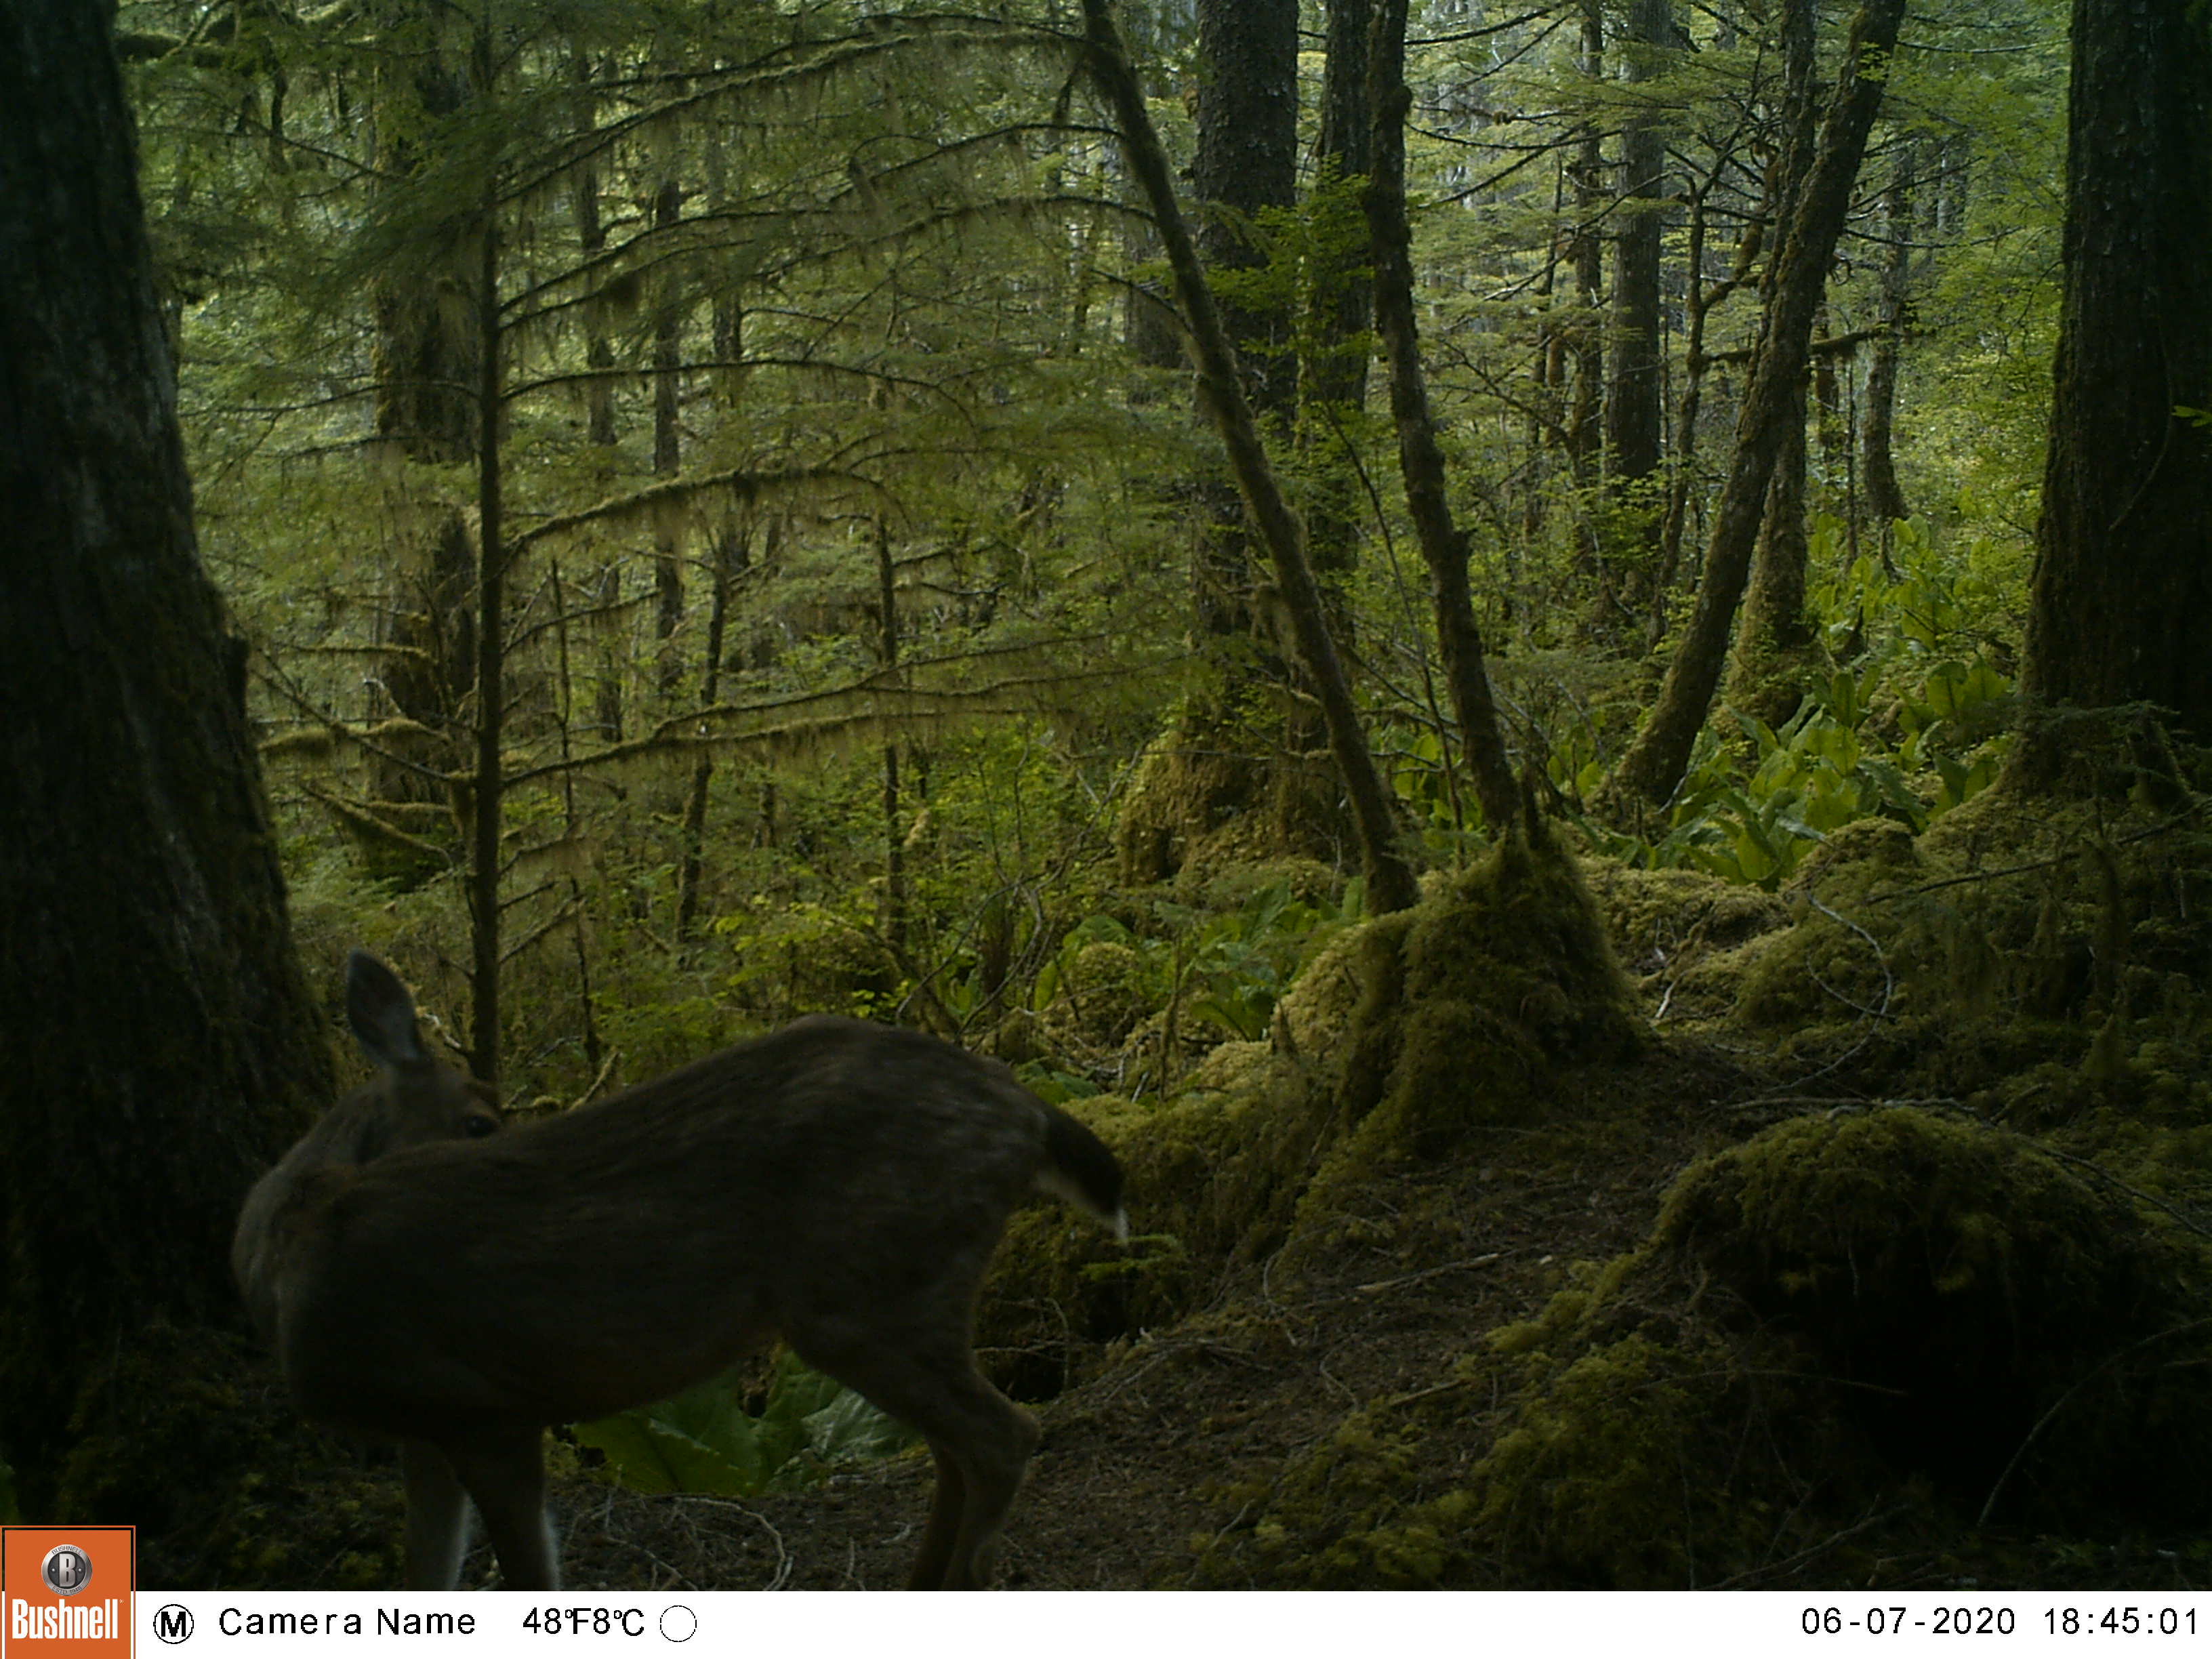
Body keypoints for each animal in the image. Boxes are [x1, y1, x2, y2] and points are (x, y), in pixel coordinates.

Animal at [233, 951, 1126, 1591]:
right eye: (480, 1120)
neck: (285, 1252)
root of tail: (1028, 1113)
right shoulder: (425, 1432)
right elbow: (429, 1576)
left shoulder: (484, 1407)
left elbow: (530, 1576)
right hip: (900, 1295)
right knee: (957, 1449)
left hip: (867, 1294)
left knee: (1004, 1436)